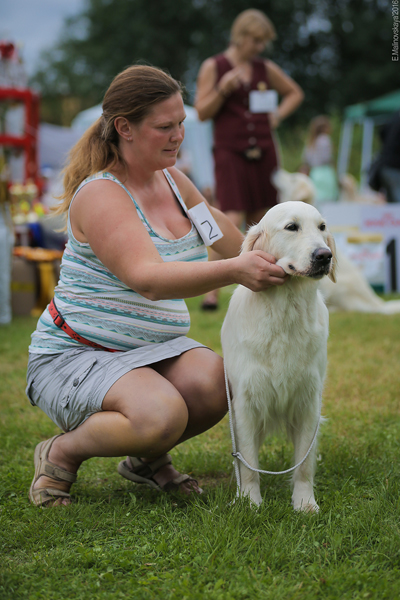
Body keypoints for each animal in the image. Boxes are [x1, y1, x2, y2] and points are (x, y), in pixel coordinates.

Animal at [220, 202, 336, 510]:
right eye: (291, 227)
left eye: (322, 227)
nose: (325, 255)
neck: (285, 311)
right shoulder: (245, 403)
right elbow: (248, 462)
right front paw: (250, 503)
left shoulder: (309, 400)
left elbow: (304, 463)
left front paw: (305, 502)